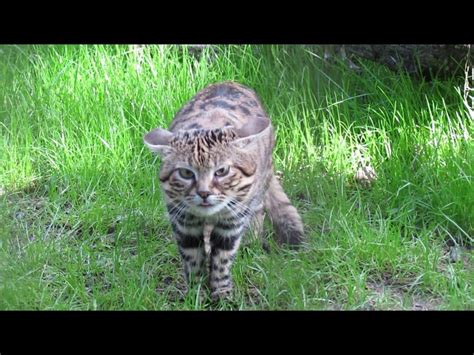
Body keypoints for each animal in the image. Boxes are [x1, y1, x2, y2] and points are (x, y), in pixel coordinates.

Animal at [143, 80, 304, 300]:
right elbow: (192, 258)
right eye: (185, 173)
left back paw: (250, 243)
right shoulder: (183, 221)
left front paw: (221, 293)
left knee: (258, 212)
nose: (203, 193)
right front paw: (196, 292)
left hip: (259, 188)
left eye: (222, 171)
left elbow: (222, 260)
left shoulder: (232, 222)